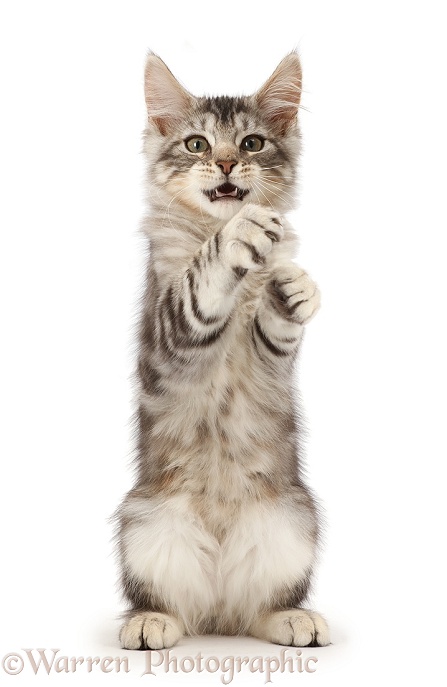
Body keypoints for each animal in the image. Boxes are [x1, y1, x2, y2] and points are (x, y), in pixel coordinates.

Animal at [114, 51, 330, 648]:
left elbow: (277, 326)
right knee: (167, 602)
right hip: (144, 525)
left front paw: (294, 289)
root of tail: (218, 612)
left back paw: (294, 618)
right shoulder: (167, 335)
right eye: (197, 144)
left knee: (262, 605)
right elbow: (202, 277)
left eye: (252, 143)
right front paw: (236, 236)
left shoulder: (270, 359)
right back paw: (150, 622)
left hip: (293, 522)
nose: (229, 164)